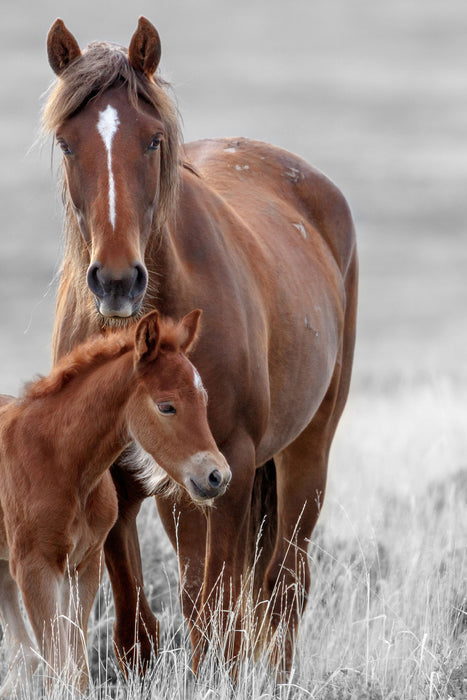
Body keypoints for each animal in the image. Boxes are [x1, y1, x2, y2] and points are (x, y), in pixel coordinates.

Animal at [0, 312, 231, 696]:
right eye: (166, 406)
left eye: (203, 399)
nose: (218, 476)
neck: (63, 462)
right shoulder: (35, 568)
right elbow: (57, 668)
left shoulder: (84, 566)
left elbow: (75, 670)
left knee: (23, 655)